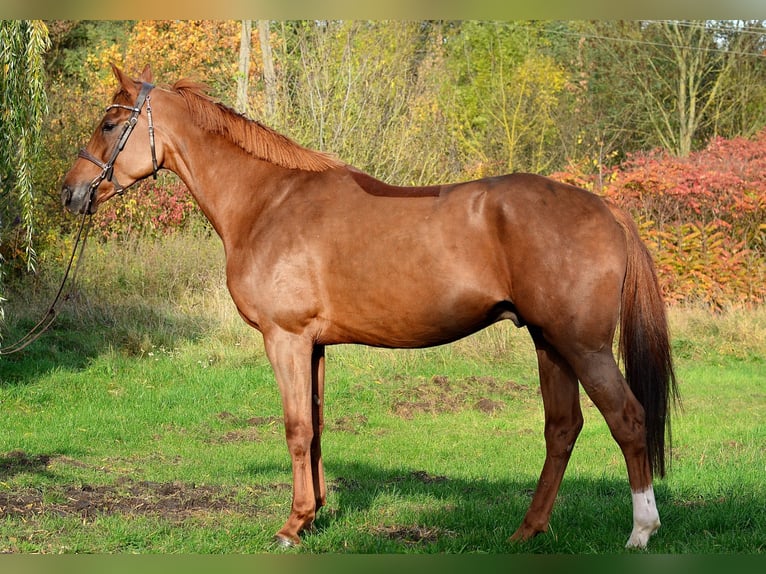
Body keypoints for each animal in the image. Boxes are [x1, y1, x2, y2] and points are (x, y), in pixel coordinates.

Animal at [61, 64, 677, 549]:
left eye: (110, 124)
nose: (71, 192)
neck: (266, 202)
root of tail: (605, 207)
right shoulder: (314, 346)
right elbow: (315, 427)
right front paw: (312, 516)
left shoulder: (285, 339)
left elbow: (295, 428)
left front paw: (291, 527)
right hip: (549, 342)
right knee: (562, 428)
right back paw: (527, 531)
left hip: (582, 345)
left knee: (627, 419)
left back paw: (641, 530)